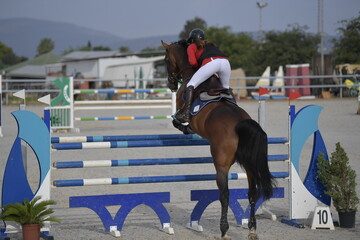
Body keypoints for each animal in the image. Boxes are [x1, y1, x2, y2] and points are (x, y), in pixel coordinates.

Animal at [162, 40, 274, 239]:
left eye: (166, 60)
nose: (171, 84)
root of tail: (240, 123)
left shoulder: (182, 105)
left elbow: (177, 119)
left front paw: (184, 127)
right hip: (250, 164)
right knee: (252, 193)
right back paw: (252, 229)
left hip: (221, 164)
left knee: (225, 195)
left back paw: (224, 230)